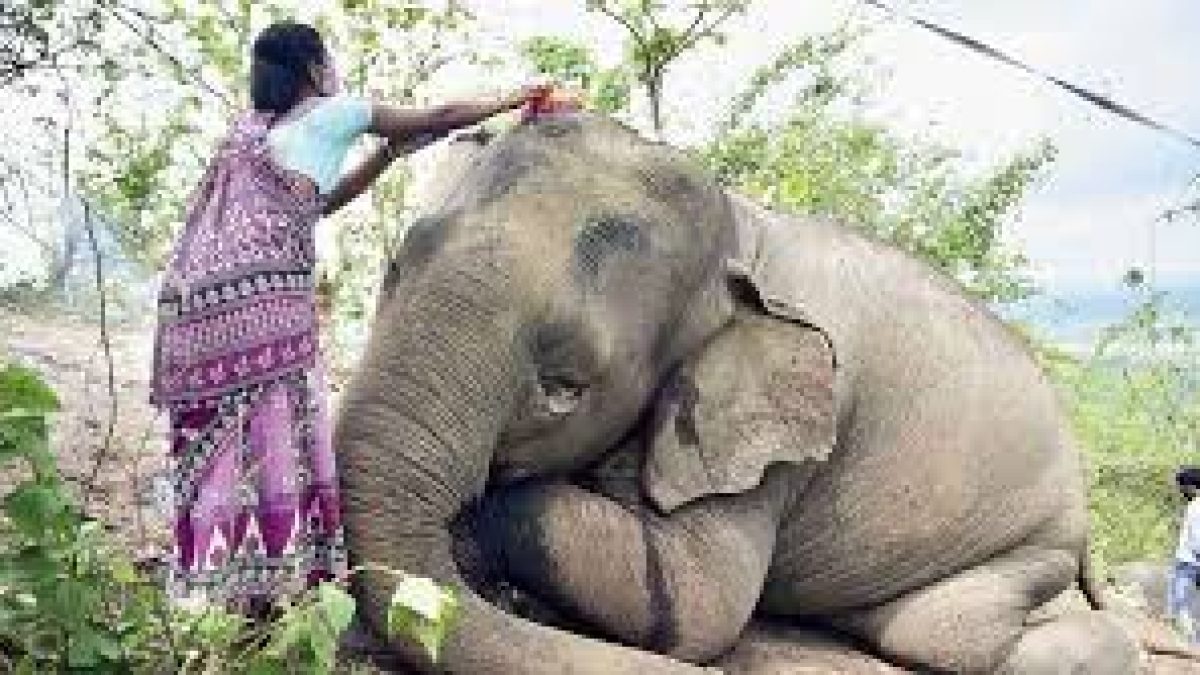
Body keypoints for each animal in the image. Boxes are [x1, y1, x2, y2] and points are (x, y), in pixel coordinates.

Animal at [334, 113, 1141, 673]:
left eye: (565, 386)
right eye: (394, 271)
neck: (740, 225)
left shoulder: (777, 446)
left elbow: (700, 604)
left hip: (1032, 539)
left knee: (949, 632)